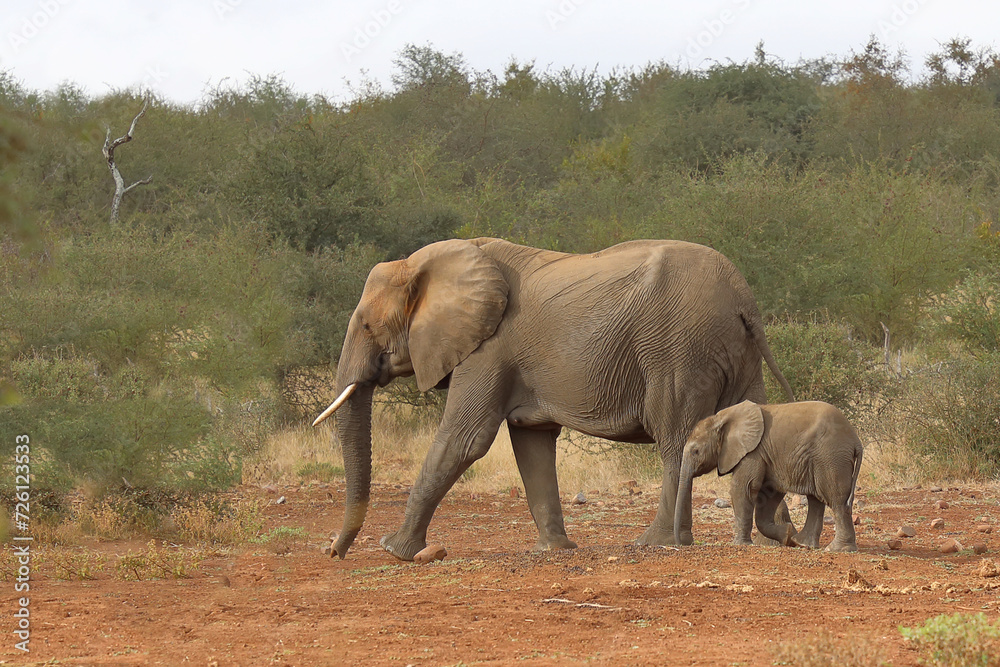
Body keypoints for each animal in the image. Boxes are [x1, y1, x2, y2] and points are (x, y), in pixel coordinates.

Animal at [313, 237, 795, 561]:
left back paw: (657, 543)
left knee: (675, 441)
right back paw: (785, 537)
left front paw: (394, 550)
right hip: (734, 351)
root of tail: (743, 297)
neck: (426, 264)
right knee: (758, 428)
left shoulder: (488, 350)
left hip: (678, 350)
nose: (334, 552)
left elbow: (465, 440)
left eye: (368, 326)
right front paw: (555, 549)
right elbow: (532, 444)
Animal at [674, 400, 864, 552]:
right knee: (817, 500)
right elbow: (769, 494)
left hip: (831, 457)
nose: (680, 543)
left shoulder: (753, 452)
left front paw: (740, 544)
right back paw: (803, 544)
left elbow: (743, 488)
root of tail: (856, 440)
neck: (721, 418)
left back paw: (837, 549)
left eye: (696, 451)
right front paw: (787, 535)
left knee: (836, 499)